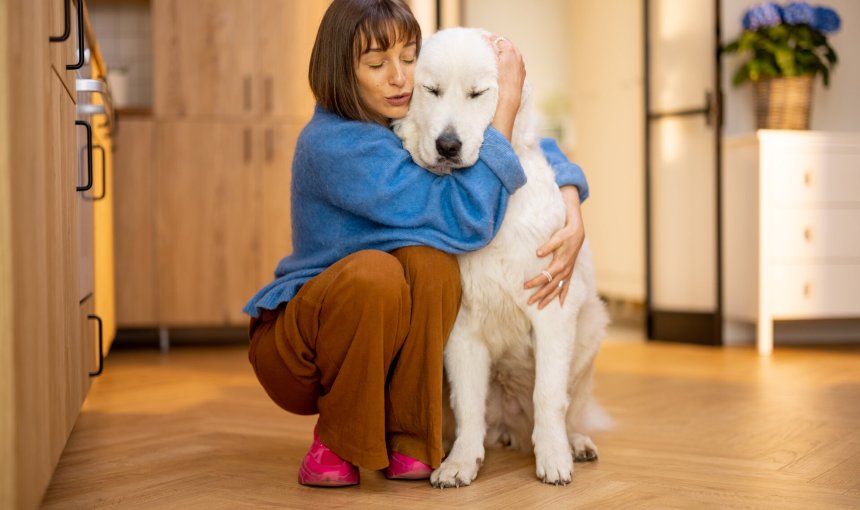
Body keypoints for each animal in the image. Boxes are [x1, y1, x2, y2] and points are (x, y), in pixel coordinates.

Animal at [394, 26, 608, 486]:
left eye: (477, 93)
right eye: (431, 89)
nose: (448, 145)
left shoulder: (552, 310)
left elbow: (548, 395)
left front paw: (553, 460)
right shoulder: (461, 331)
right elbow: (468, 406)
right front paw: (460, 463)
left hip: (588, 340)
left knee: (571, 406)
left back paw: (574, 443)